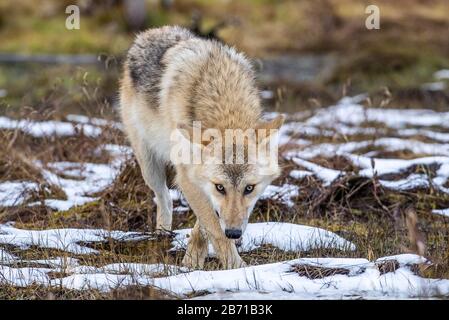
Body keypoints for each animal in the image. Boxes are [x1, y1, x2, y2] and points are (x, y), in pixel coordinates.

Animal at [120, 25, 284, 270]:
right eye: (220, 187)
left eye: (249, 188)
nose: (234, 233)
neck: (224, 100)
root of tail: (152, 32)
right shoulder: (187, 177)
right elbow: (214, 228)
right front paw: (236, 268)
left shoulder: (199, 180)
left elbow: (205, 224)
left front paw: (192, 259)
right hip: (148, 166)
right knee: (164, 197)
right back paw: (162, 235)